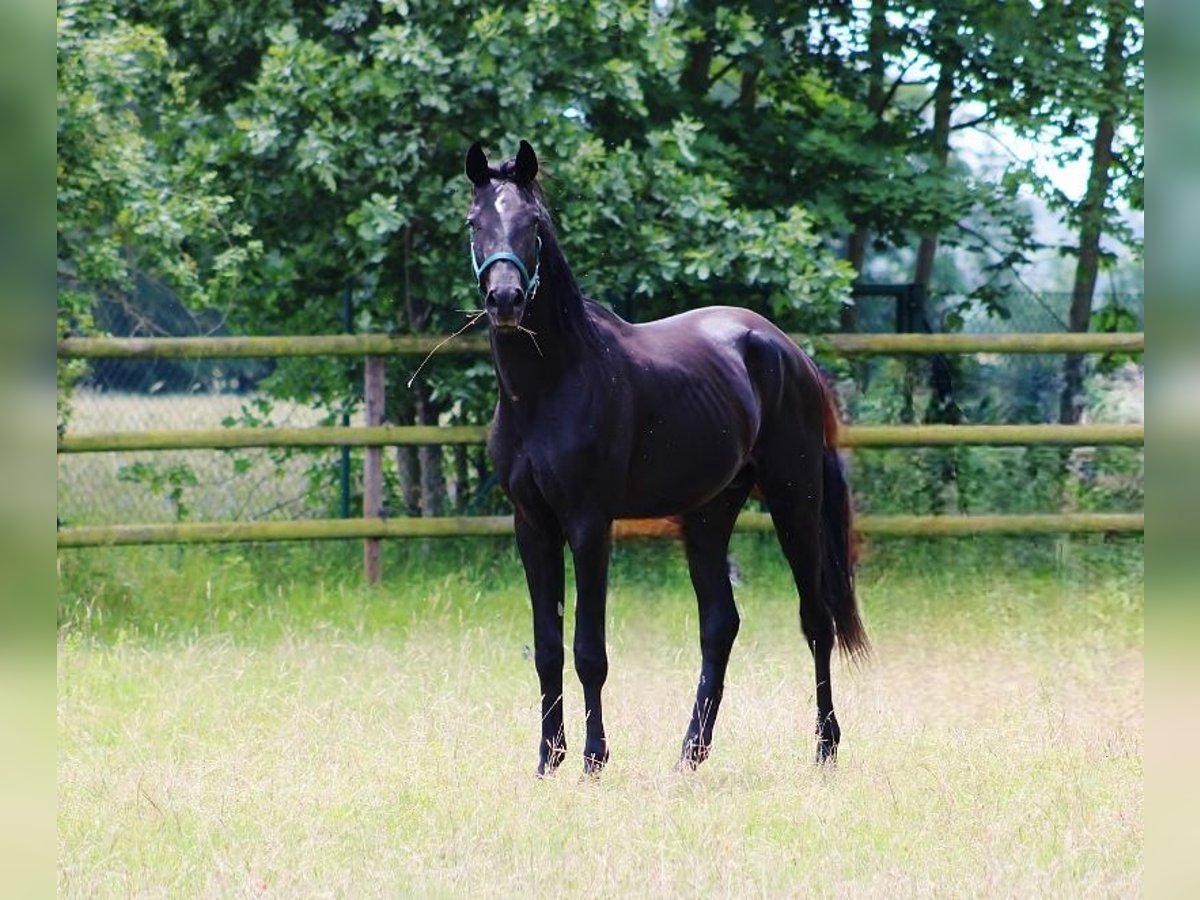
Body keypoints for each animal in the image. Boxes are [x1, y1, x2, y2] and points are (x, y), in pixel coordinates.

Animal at [463, 141, 868, 777]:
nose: (504, 300)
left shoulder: (589, 523)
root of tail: (787, 351)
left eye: (533, 224)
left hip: (794, 501)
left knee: (816, 621)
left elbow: (588, 650)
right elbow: (547, 647)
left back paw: (825, 748)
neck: (553, 384)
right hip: (708, 514)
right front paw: (548, 761)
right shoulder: (532, 524)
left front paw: (593, 760)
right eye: (474, 223)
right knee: (720, 624)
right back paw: (690, 755)